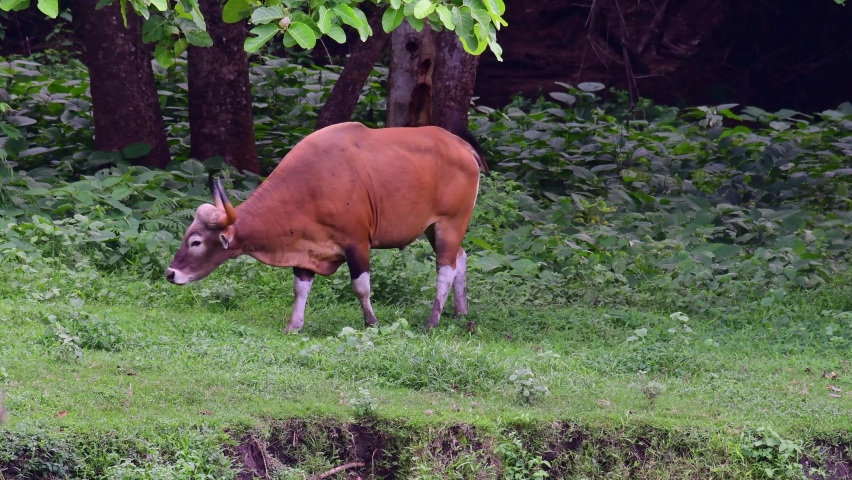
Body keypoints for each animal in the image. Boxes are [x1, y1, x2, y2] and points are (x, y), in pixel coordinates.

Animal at [165, 121, 488, 332]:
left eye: (196, 242)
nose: (171, 273)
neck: (309, 185)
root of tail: (461, 145)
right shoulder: (304, 245)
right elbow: (300, 288)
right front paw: (294, 325)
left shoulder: (357, 242)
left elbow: (361, 287)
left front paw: (371, 322)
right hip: (434, 228)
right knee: (460, 258)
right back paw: (461, 314)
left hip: (450, 222)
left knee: (445, 269)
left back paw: (432, 322)